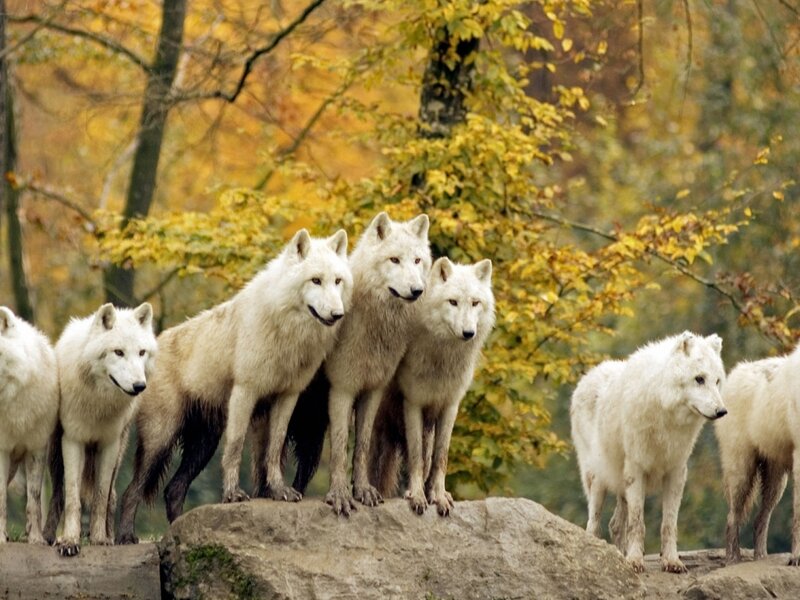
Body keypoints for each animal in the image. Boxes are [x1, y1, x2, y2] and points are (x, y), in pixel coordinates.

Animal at [42, 302, 156, 557]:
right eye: (118, 352)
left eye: (141, 352)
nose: (139, 386)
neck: (99, 402)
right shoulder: (73, 440)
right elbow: (73, 498)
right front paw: (69, 541)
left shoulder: (109, 444)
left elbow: (101, 497)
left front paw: (99, 539)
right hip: (55, 455)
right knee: (57, 495)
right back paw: (47, 537)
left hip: (119, 452)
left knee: (112, 496)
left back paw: (112, 536)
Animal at [115, 229, 351, 544]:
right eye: (315, 280)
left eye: (338, 281)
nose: (338, 314)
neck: (288, 332)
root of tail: (147, 350)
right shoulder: (245, 392)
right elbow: (237, 446)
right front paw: (232, 495)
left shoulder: (287, 396)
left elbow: (274, 448)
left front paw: (279, 490)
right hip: (161, 439)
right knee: (132, 490)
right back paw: (125, 536)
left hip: (203, 444)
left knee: (173, 490)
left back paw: (179, 535)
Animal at [370, 257, 495, 516]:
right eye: (453, 302)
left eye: (475, 303)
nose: (468, 333)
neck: (443, 359)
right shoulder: (413, 403)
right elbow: (416, 458)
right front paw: (417, 496)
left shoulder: (449, 406)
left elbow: (440, 458)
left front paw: (438, 496)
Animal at [570, 332, 727, 573]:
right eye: (699, 379)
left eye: (717, 381)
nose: (722, 411)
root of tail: (589, 375)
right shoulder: (636, 470)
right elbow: (638, 523)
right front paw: (635, 560)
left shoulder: (676, 472)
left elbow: (669, 524)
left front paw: (671, 561)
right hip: (598, 479)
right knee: (594, 524)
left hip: (620, 484)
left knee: (615, 524)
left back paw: (619, 555)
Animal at [715, 345, 800, 565]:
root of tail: (734, 373)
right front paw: (796, 558)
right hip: (742, 474)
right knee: (732, 519)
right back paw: (733, 560)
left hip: (776, 484)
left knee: (759, 520)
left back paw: (760, 557)